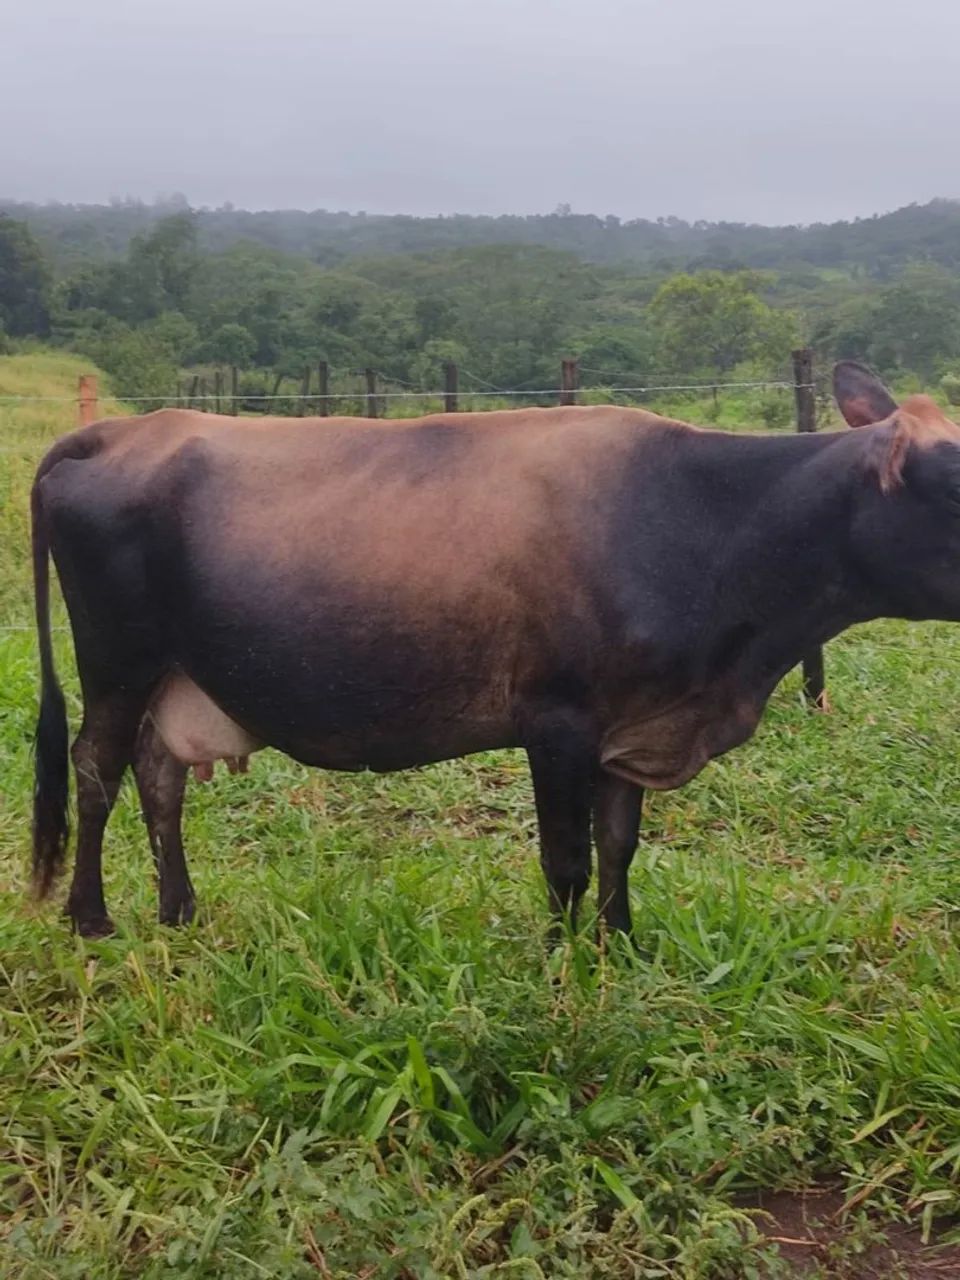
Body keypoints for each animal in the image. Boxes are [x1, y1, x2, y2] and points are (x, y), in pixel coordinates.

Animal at [28, 361, 960, 939]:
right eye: (952, 483)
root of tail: (125, 431)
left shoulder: (632, 726)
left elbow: (619, 847)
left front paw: (620, 948)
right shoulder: (557, 722)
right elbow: (566, 861)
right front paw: (560, 965)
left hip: (176, 674)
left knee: (160, 775)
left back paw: (179, 911)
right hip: (116, 658)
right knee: (96, 768)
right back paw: (91, 919)